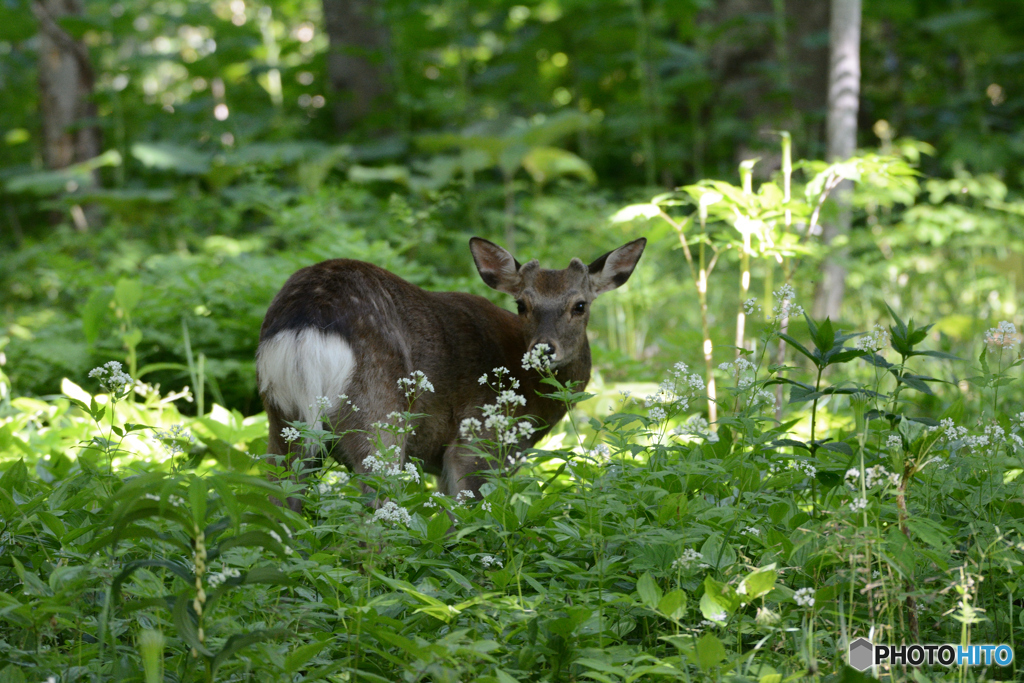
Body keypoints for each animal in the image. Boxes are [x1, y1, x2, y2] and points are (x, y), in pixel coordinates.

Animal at [256, 237, 643, 505]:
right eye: (522, 303)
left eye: (580, 305)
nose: (543, 349)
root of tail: (307, 321)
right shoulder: (478, 441)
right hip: (379, 416)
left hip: (282, 421)